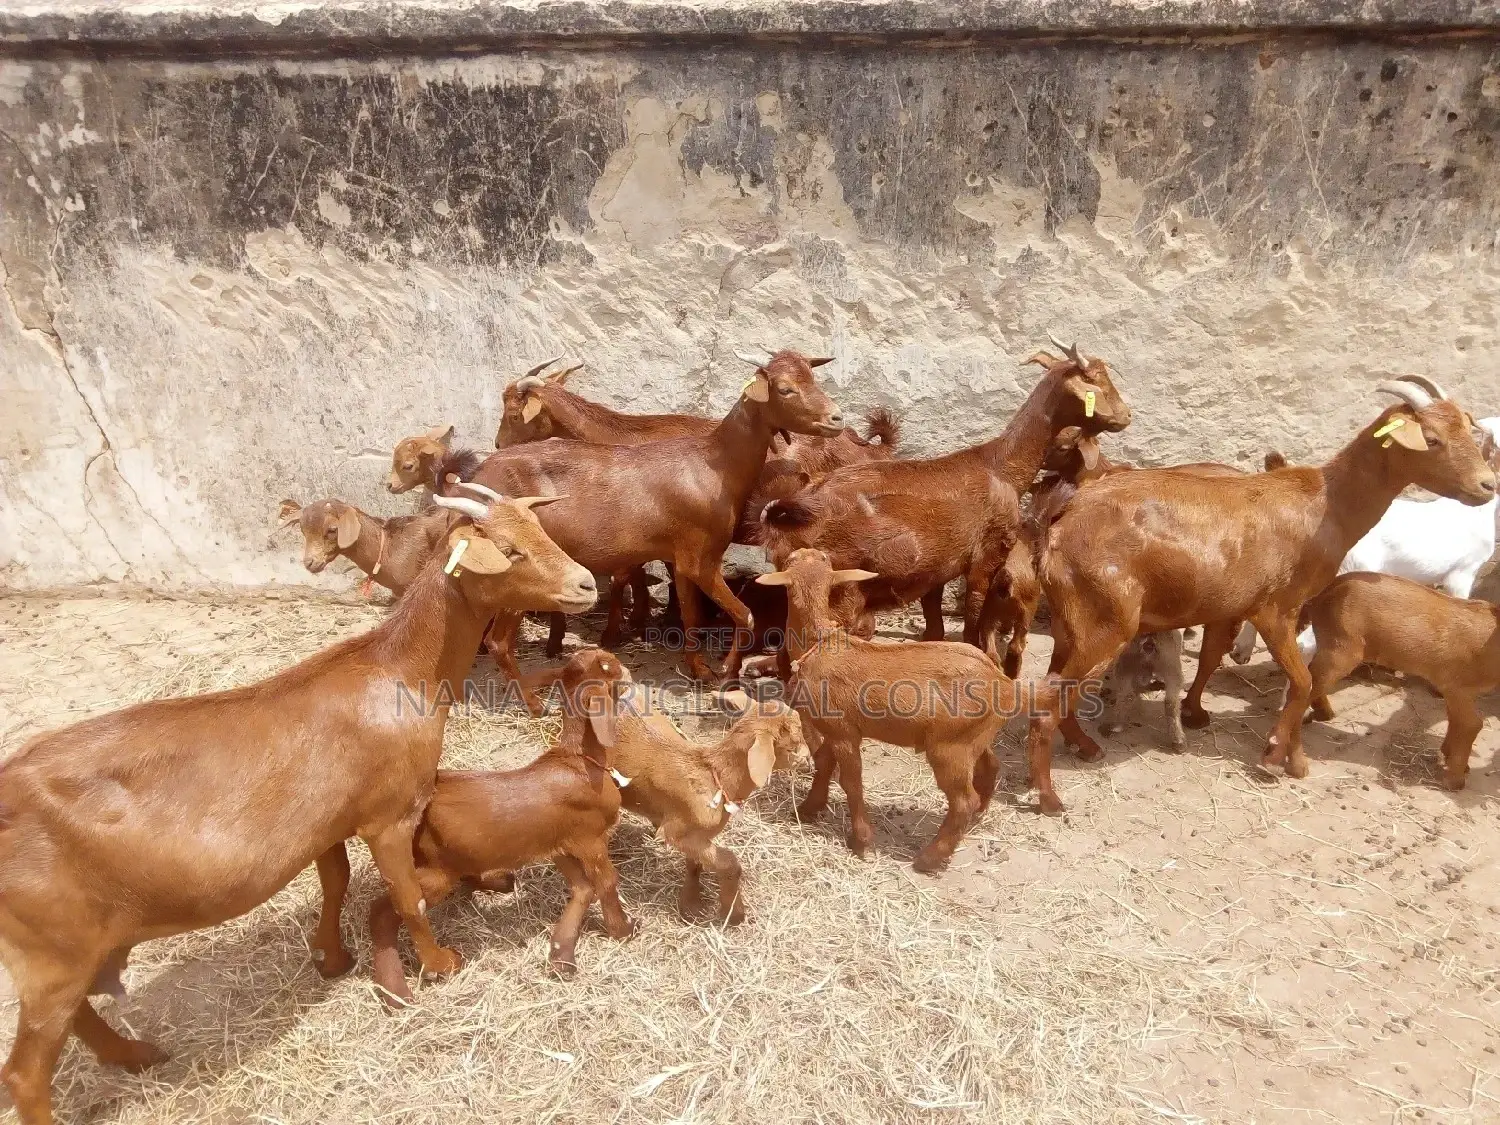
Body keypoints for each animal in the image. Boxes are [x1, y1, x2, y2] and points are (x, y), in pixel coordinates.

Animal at [366, 649, 635, 1001]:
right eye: (608, 666)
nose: (630, 672)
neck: (580, 764)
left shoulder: (559, 844)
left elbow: (582, 888)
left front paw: (561, 954)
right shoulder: (590, 840)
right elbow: (606, 882)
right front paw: (623, 929)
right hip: (435, 871)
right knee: (388, 908)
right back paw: (404, 986)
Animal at [470, 349, 844, 687]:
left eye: (811, 379)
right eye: (785, 388)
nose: (836, 418)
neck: (715, 465)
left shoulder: (686, 559)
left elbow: (698, 613)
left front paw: (703, 667)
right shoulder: (697, 559)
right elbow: (737, 615)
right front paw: (721, 670)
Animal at [756, 549, 1025, 872]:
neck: (819, 644)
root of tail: (1005, 685)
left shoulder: (844, 733)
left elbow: (851, 782)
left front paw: (862, 842)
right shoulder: (836, 729)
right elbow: (824, 763)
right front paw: (809, 808)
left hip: (949, 748)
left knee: (963, 800)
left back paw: (930, 857)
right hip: (973, 736)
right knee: (990, 768)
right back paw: (978, 818)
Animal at [759, 339, 1131, 664]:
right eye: (1096, 379)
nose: (1125, 416)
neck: (1000, 466)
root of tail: (794, 511)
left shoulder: (935, 568)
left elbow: (934, 624)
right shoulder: (988, 552)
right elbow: (975, 609)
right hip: (840, 585)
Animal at [1299, 572, 1500, 790]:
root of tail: (1326, 592)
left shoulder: (1456, 690)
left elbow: (1461, 722)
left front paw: (1452, 766)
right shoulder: (1458, 688)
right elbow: (1469, 724)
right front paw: (1454, 779)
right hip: (1340, 651)